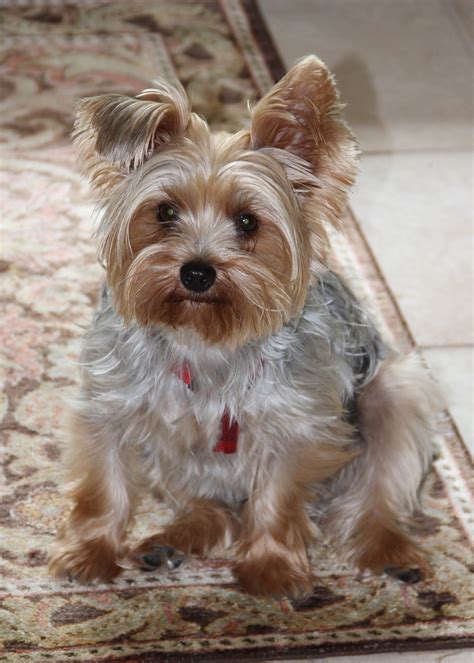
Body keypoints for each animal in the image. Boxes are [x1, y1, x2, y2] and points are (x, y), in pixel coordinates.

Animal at [48, 55, 440, 596]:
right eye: (164, 212)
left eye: (249, 222)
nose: (196, 272)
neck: (204, 338)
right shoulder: (108, 405)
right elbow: (102, 485)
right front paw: (88, 552)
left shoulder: (297, 425)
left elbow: (277, 496)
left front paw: (271, 567)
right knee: (211, 507)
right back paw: (174, 539)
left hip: (396, 392)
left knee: (375, 494)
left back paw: (391, 551)